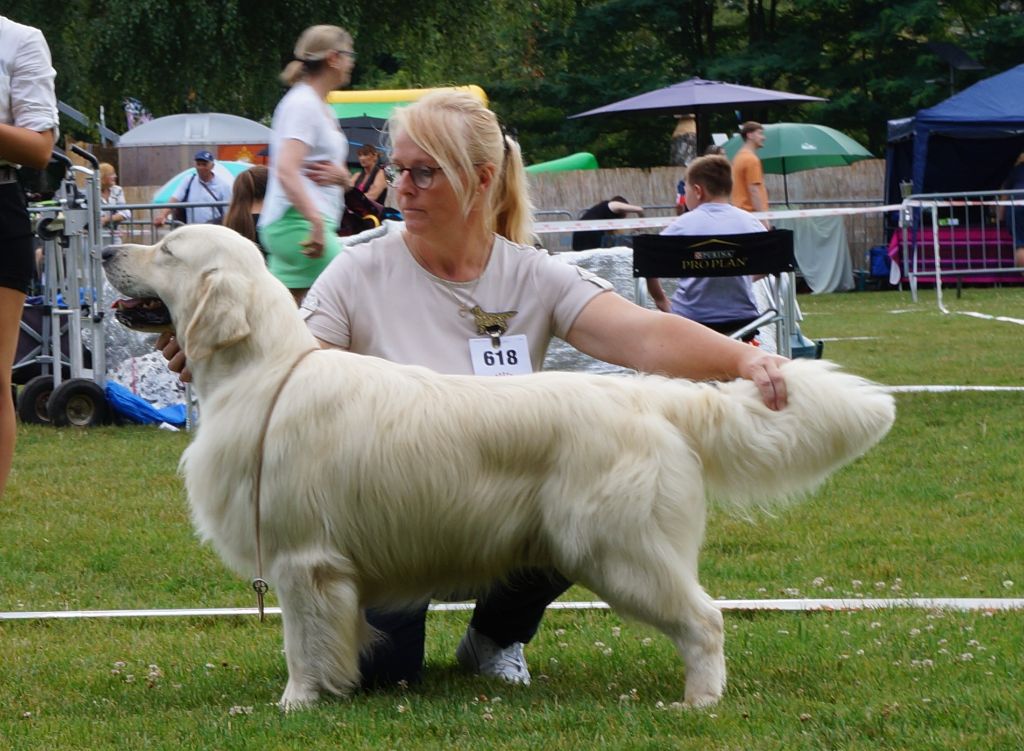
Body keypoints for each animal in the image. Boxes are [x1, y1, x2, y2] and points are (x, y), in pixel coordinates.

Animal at [99, 222, 892, 708]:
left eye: (166, 249)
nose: (106, 250)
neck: (262, 373)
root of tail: (653, 398)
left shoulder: (302, 557)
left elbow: (301, 643)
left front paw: (296, 703)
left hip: (620, 549)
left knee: (706, 619)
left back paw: (699, 700)